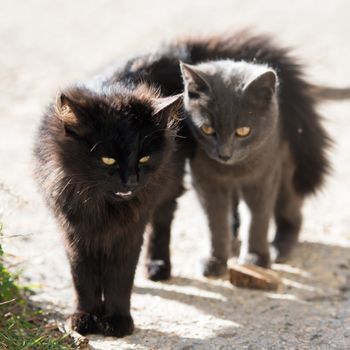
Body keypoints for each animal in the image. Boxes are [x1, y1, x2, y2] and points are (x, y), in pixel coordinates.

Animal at [180, 60, 328, 276]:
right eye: (207, 129)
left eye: (243, 131)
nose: (224, 154)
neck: (233, 171)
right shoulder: (204, 180)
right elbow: (215, 221)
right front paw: (215, 260)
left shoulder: (263, 177)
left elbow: (258, 217)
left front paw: (256, 258)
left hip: (286, 173)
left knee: (292, 210)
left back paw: (280, 247)